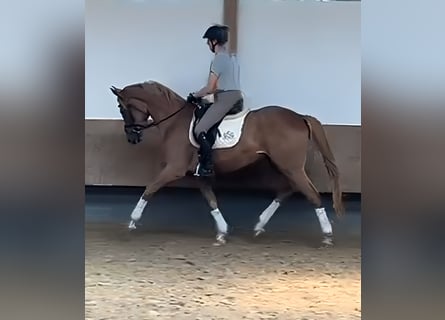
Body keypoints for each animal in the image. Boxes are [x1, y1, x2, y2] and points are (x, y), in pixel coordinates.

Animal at [110, 81, 344, 246]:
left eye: (122, 108)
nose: (132, 137)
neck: (175, 121)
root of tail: (299, 117)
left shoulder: (174, 169)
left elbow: (149, 189)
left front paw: (131, 222)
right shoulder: (198, 174)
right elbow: (211, 200)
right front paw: (222, 232)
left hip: (290, 166)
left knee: (311, 194)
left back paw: (327, 236)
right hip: (283, 165)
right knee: (289, 189)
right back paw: (259, 226)